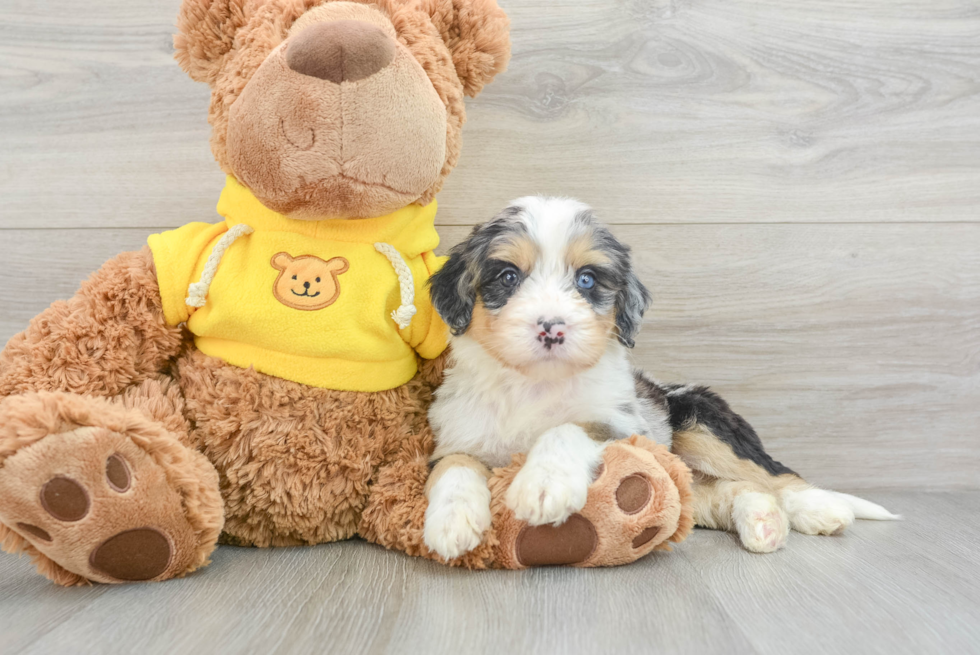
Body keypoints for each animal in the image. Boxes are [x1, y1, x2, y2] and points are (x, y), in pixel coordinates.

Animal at [422, 197, 896, 560]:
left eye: (587, 279)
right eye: (507, 277)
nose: (552, 328)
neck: (533, 385)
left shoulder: (622, 426)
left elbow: (567, 428)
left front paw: (543, 486)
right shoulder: (458, 435)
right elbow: (454, 466)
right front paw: (452, 522)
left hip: (702, 421)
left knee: (776, 474)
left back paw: (822, 508)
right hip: (686, 482)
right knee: (734, 489)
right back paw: (764, 523)